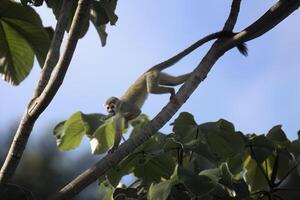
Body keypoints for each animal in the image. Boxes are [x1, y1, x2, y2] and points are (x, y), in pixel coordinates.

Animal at [104, 29, 247, 152]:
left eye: (112, 105)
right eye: (107, 107)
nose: (110, 110)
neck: (118, 108)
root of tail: (147, 71)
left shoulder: (122, 109)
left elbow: (137, 111)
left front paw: (124, 127)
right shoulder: (116, 115)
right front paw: (118, 138)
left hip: (151, 77)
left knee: (152, 89)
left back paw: (172, 91)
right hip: (157, 75)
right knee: (173, 81)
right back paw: (191, 76)